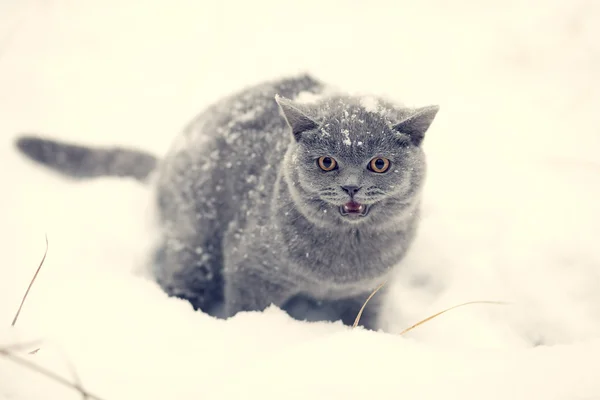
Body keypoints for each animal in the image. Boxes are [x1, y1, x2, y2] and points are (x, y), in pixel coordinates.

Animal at [14, 73, 438, 330]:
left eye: (379, 163)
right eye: (327, 162)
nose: (351, 187)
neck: (341, 267)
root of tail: (167, 159)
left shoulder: (371, 290)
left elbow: (361, 321)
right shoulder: (251, 269)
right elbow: (247, 308)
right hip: (194, 240)